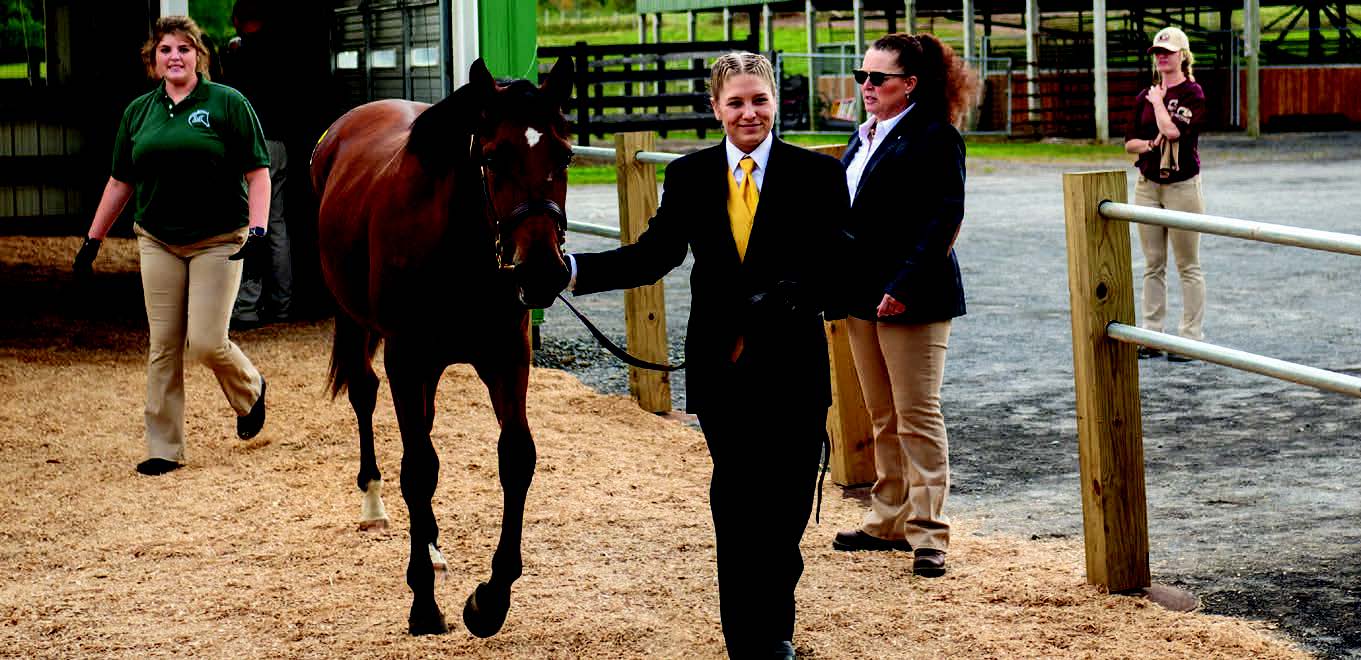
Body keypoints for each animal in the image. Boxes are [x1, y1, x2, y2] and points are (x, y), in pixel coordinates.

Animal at [310, 59, 574, 634]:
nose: (542, 271)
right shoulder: (406, 360)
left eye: (564, 155)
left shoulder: (507, 358)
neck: (458, 250)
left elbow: (516, 458)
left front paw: (490, 601)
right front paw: (424, 605)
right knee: (366, 396)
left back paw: (430, 544)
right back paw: (375, 507)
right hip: (356, 322)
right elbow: (417, 470)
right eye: (493, 157)